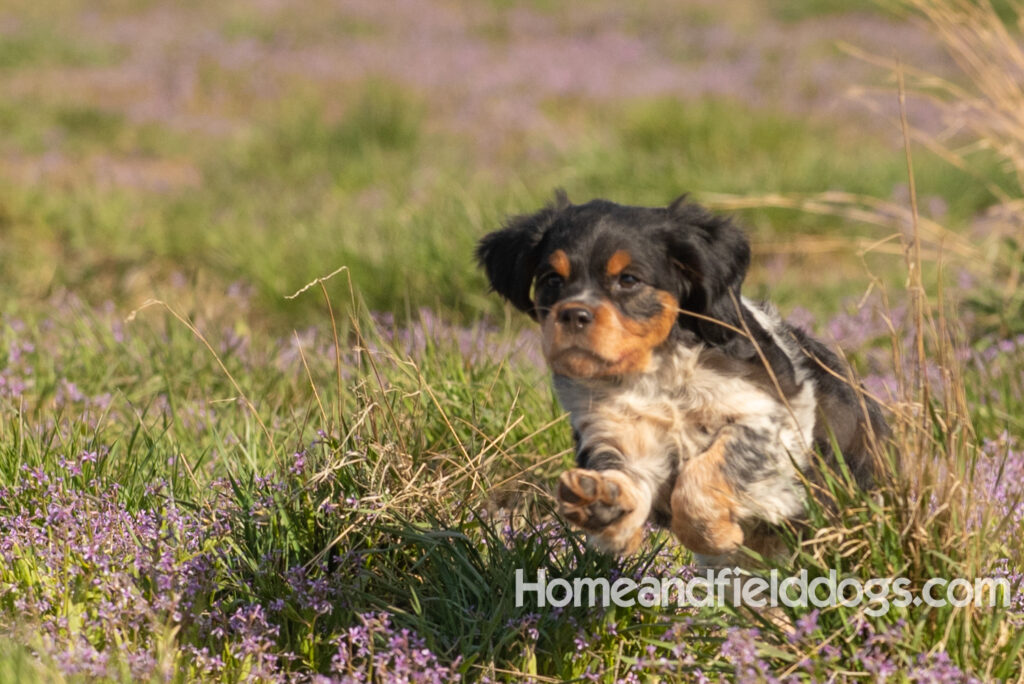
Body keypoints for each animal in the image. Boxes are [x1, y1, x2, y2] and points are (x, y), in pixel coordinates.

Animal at [479, 191, 888, 561]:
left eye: (629, 280)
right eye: (551, 279)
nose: (573, 314)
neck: (654, 377)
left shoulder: (772, 418)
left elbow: (706, 473)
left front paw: (712, 534)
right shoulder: (613, 430)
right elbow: (624, 472)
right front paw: (603, 503)